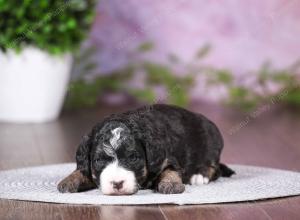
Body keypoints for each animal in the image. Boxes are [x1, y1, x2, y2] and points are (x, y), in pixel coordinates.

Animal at [57, 104, 233, 195]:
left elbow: (170, 170)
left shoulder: (166, 158)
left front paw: (171, 184)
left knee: (214, 167)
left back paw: (199, 175)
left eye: (133, 158)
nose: (117, 183)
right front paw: (69, 180)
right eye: (99, 160)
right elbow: (82, 169)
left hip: (212, 142)